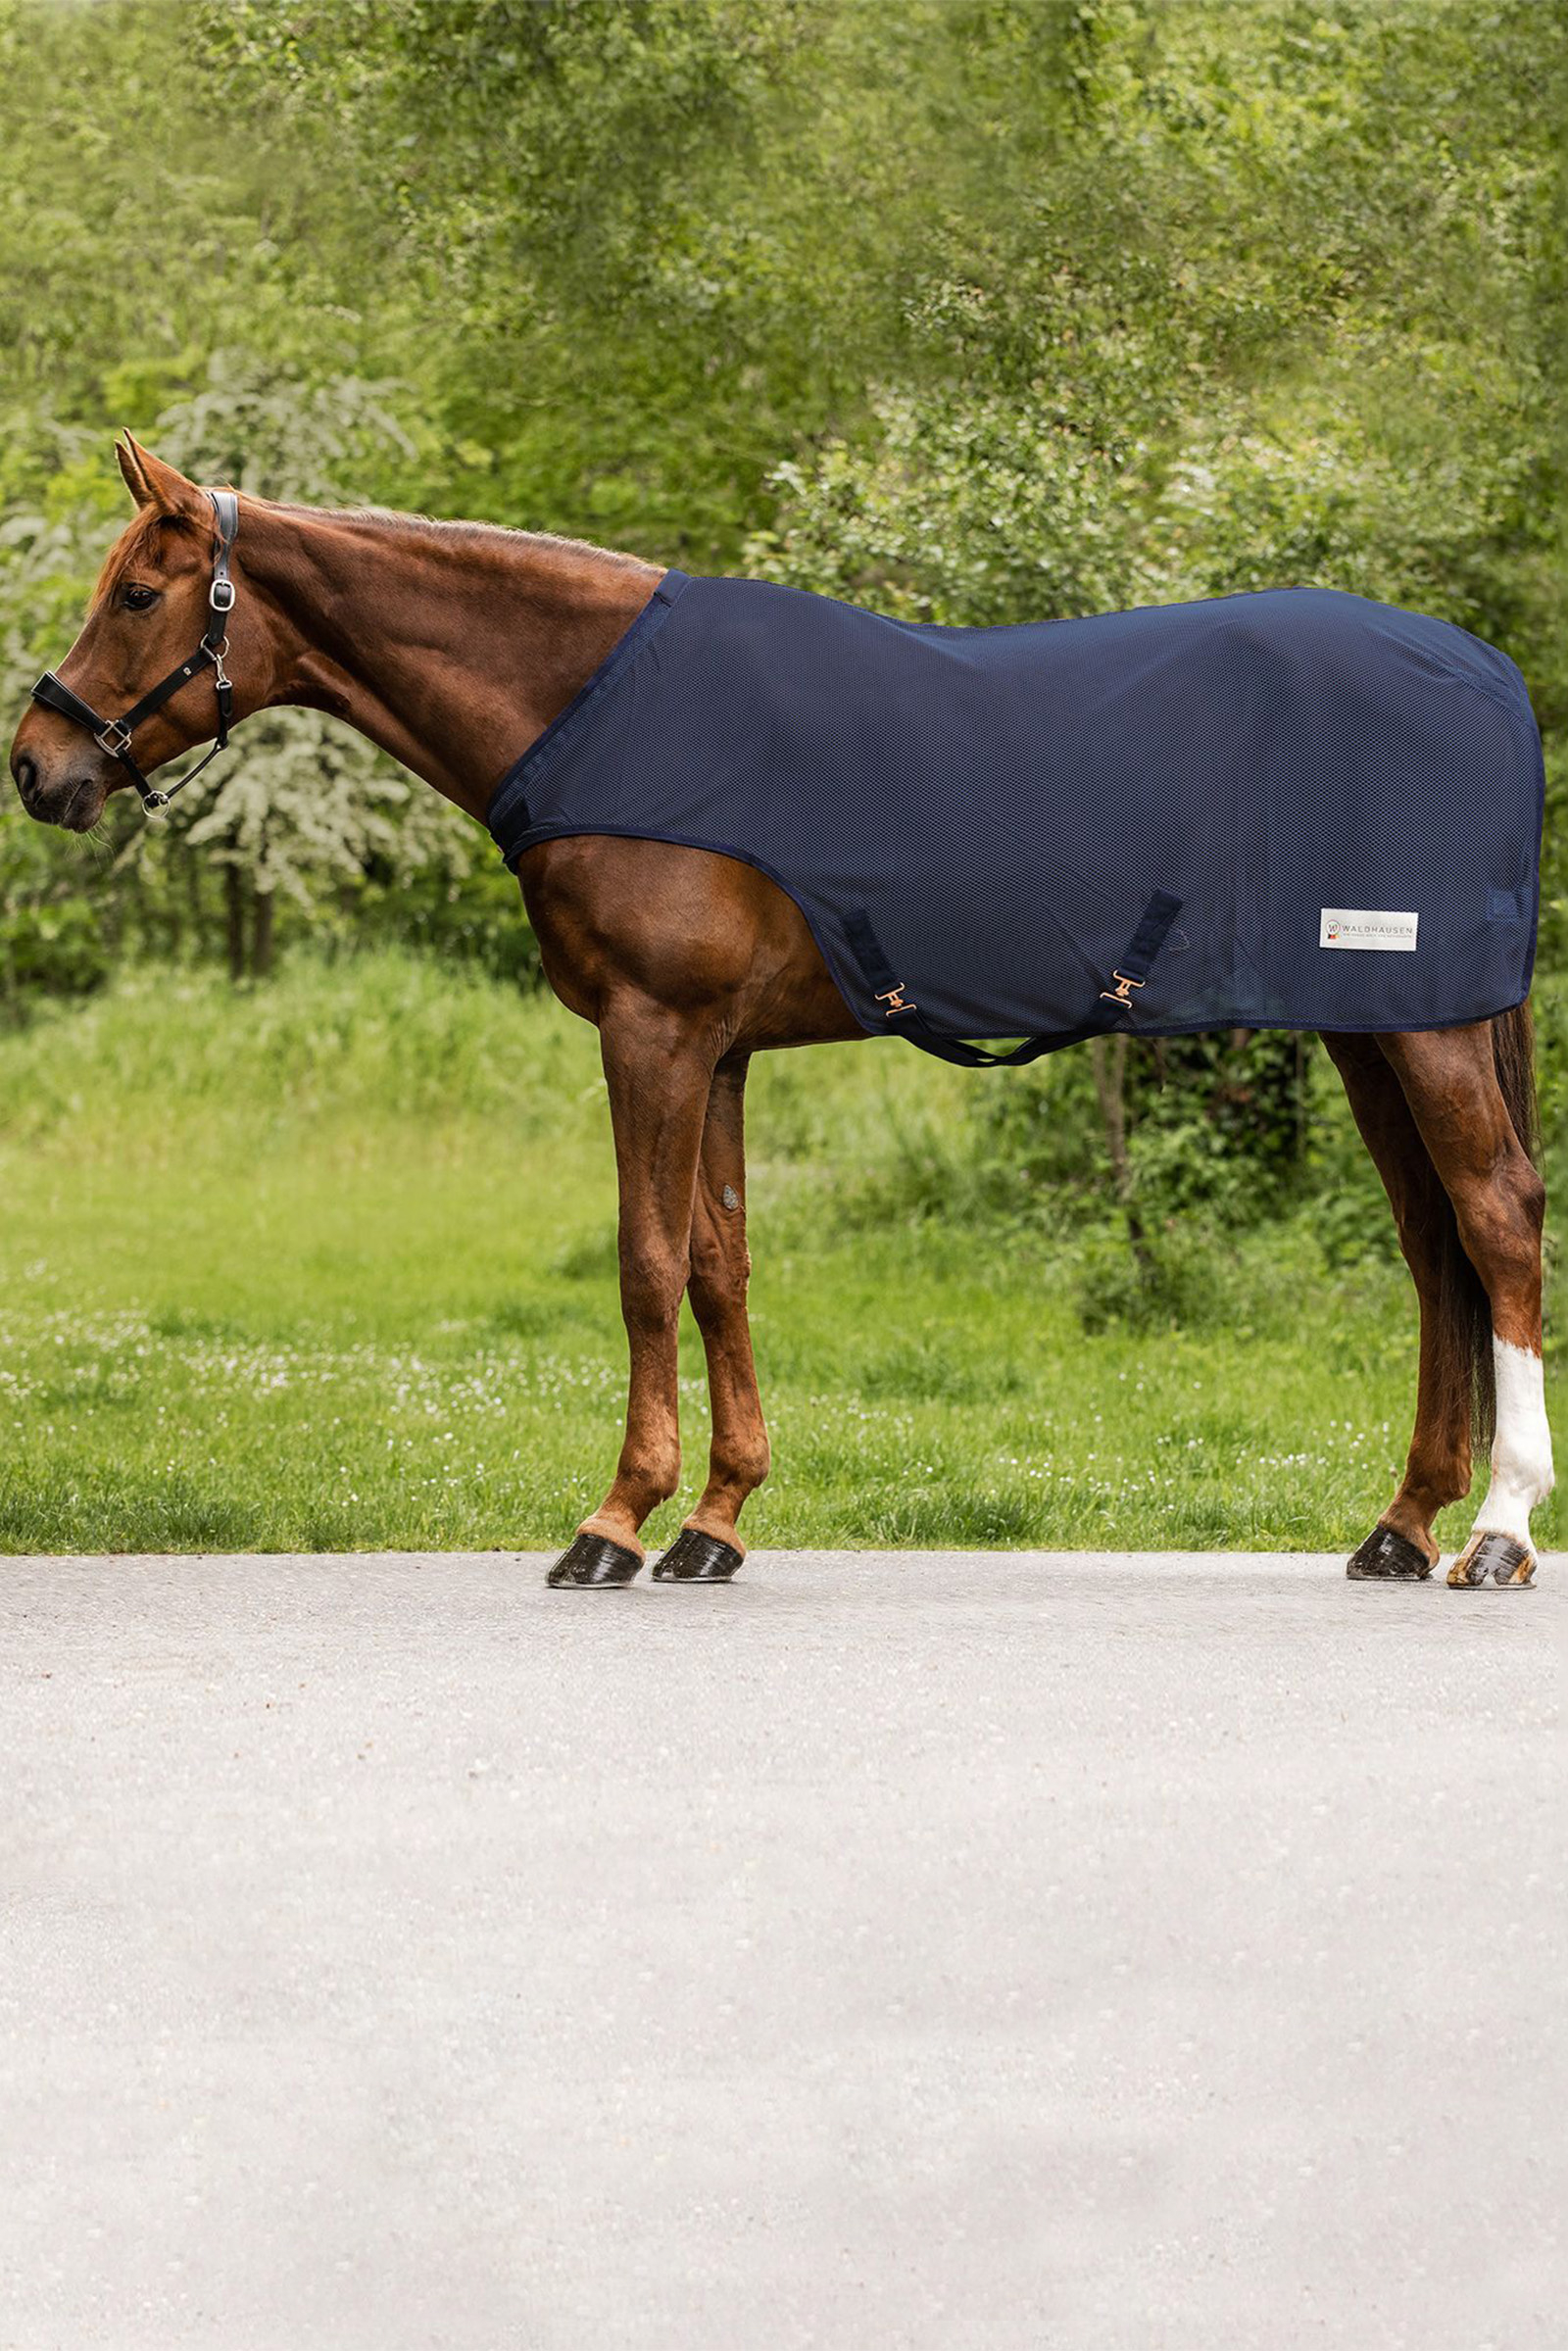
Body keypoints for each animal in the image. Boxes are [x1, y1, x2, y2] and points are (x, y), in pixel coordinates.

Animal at [8, 436, 1553, 1590]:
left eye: (138, 592)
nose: (35, 765)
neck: (601, 713)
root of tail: (1484, 671)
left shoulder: (653, 1033)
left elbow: (643, 1263)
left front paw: (614, 1518)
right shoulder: (722, 1050)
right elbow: (718, 1266)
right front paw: (715, 1518)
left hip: (1423, 1028)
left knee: (1494, 1220)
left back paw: (1496, 1528)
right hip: (1371, 1029)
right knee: (1433, 1252)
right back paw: (1401, 1523)